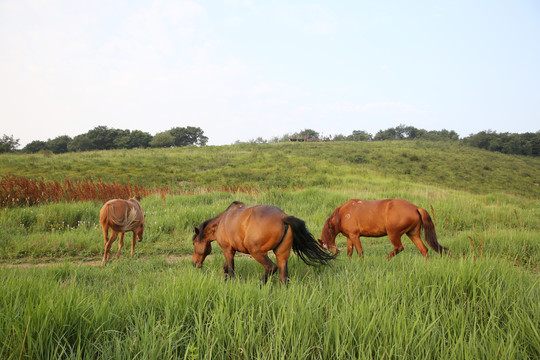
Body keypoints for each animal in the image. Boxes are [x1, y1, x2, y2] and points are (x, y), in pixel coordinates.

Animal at [192, 201, 336, 282]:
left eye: (193, 243)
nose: (194, 263)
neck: (222, 221)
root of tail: (283, 217)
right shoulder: (230, 251)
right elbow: (226, 268)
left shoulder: (227, 250)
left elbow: (230, 270)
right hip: (282, 254)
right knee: (284, 279)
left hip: (257, 252)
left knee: (271, 267)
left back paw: (260, 283)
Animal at [318, 200, 450, 258]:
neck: (342, 214)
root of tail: (416, 207)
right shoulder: (349, 237)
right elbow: (349, 253)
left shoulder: (355, 236)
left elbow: (360, 252)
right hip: (412, 234)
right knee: (424, 250)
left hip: (393, 234)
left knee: (398, 248)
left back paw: (386, 259)